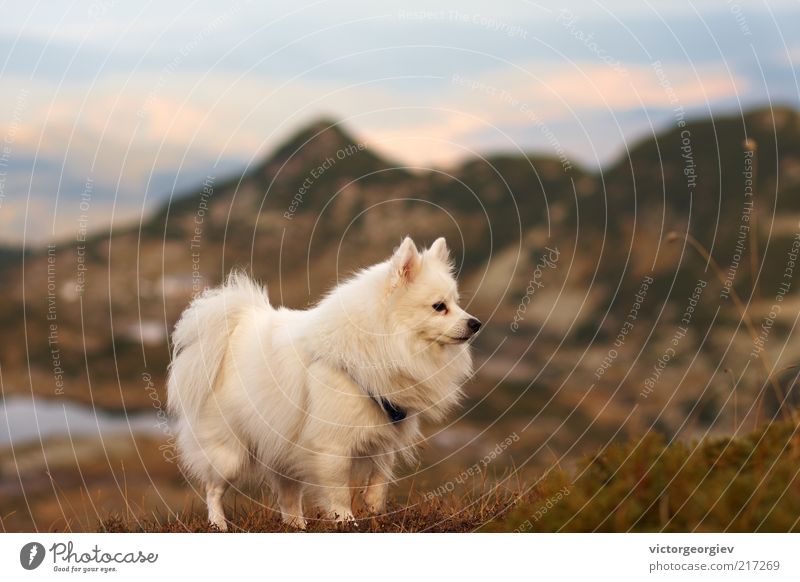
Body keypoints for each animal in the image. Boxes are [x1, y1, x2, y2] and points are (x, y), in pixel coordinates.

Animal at [166, 238, 482, 532]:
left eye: (456, 303)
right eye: (439, 307)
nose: (475, 323)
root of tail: (233, 330)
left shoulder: (384, 432)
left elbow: (381, 475)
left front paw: (373, 506)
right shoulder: (332, 446)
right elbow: (338, 490)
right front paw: (345, 521)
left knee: (288, 497)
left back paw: (296, 525)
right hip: (229, 453)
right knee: (213, 489)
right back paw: (218, 524)